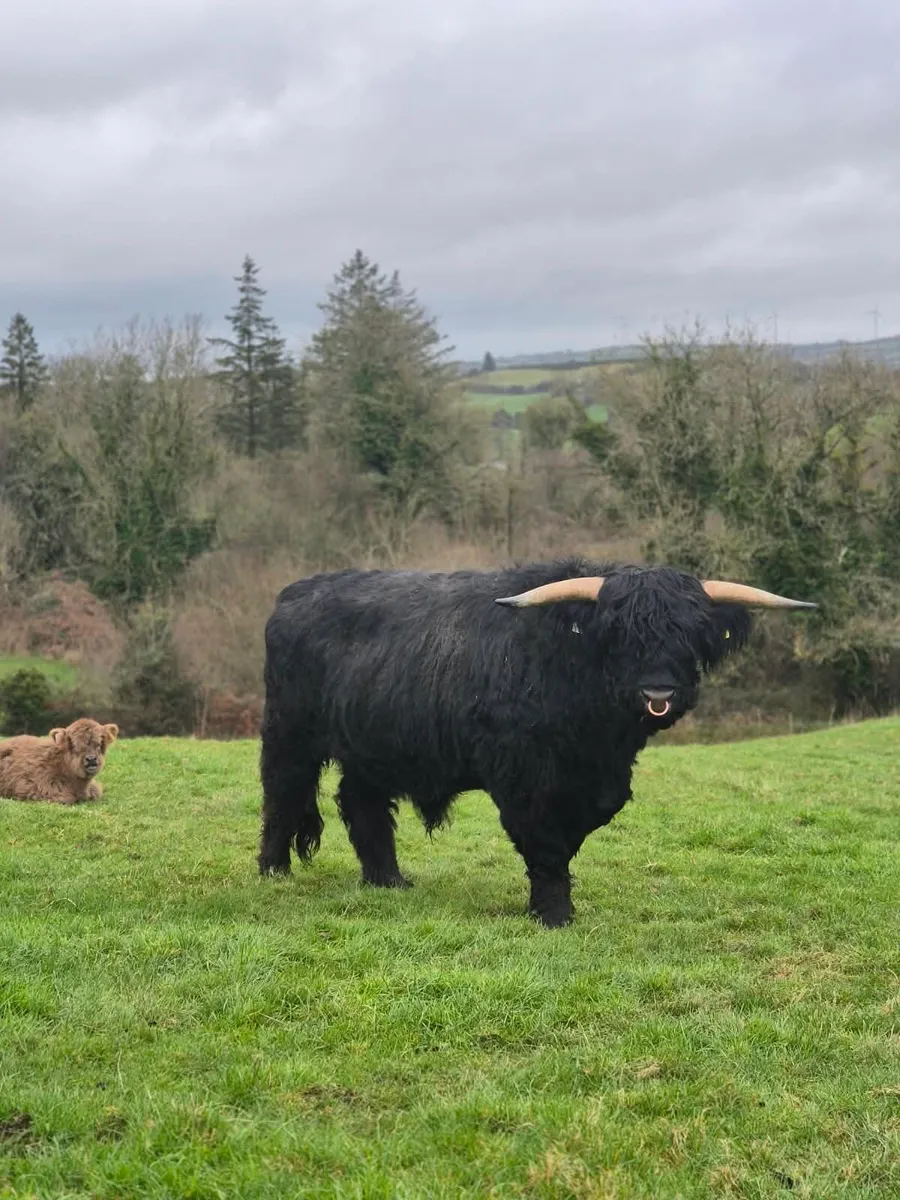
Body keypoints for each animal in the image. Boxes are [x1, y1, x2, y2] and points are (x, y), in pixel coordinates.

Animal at [257, 559, 815, 926]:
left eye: (690, 636)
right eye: (619, 635)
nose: (658, 694)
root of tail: (295, 592)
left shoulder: (597, 785)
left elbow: (572, 838)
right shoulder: (523, 776)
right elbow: (545, 845)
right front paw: (553, 913)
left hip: (374, 744)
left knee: (361, 803)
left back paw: (388, 880)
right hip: (289, 731)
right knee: (282, 796)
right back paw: (274, 872)